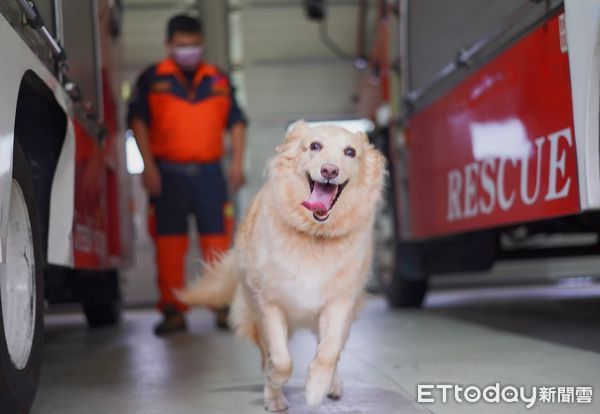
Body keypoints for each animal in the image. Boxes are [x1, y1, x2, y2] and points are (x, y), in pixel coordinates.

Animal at [177, 119, 384, 410]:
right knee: (268, 355)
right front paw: (274, 385)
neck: (313, 235)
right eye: (315, 146)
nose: (329, 170)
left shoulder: (339, 303)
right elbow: (281, 360)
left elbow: (328, 353)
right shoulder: (269, 303)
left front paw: (316, 389)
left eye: (350, 152)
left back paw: (332, 385)